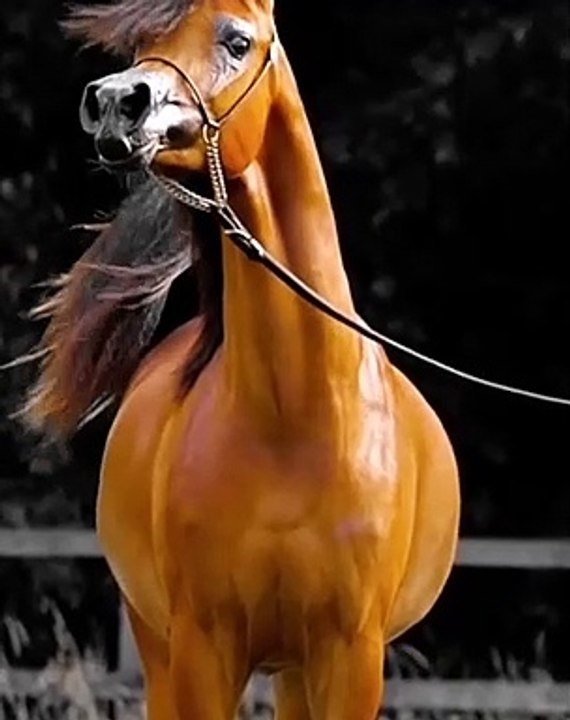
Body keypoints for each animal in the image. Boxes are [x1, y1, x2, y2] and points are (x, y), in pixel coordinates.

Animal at [24, 0, 460, 717]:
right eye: (142, 42)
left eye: (237, 41)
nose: (117, 103)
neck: (294, 420)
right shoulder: (204, 647)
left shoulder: (351, 656)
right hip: (159, 646)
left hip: (295, 670)